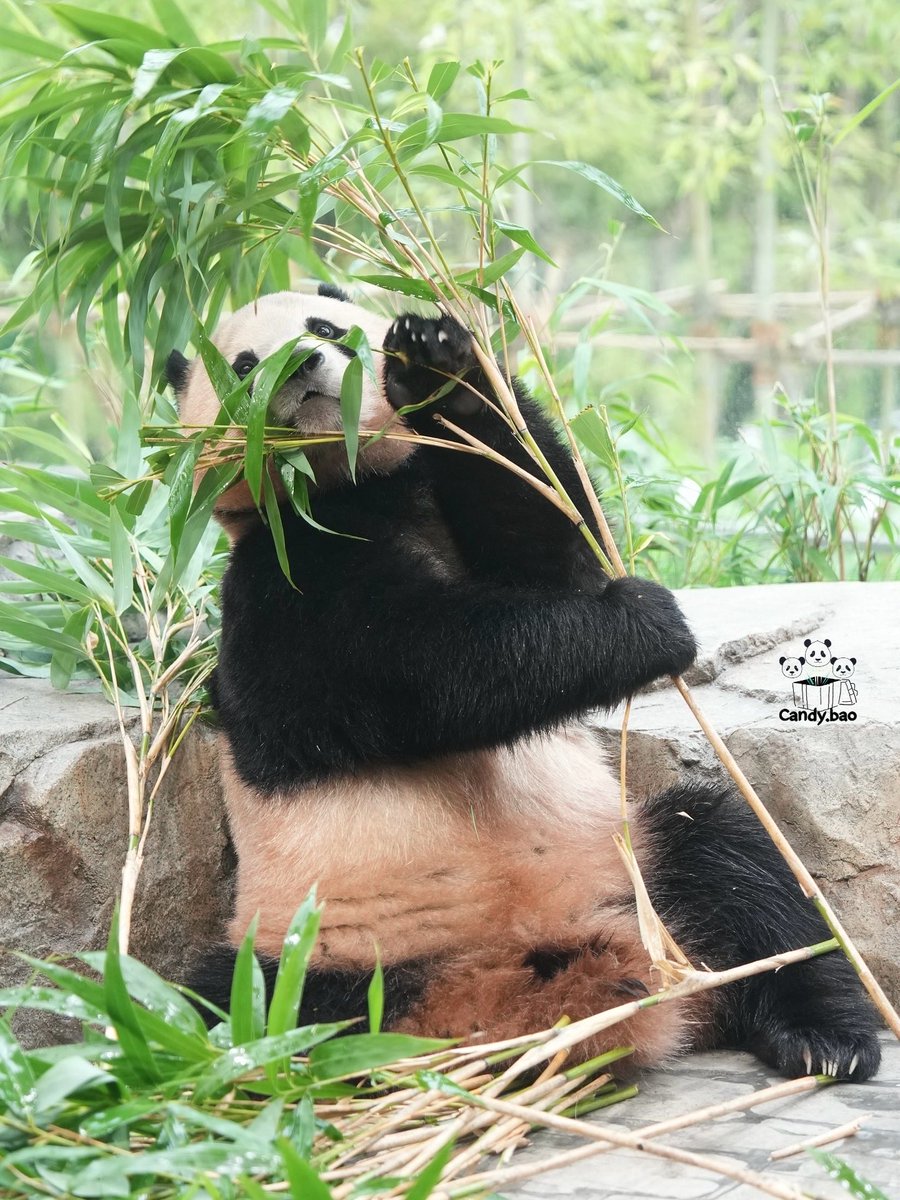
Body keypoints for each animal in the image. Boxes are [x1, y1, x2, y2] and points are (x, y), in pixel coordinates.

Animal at [167, 285, 880, 1080]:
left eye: (323, 327)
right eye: (243, 365)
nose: (301, 367)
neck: (353, 483)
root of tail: (511, 982)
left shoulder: (440, 494)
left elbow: (553, 538)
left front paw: (435, 363)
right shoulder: (282, 580)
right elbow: (425, 667)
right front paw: (648, 622)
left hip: (634, 868)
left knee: (741, 866)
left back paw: (825, 1039)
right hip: (312, 949)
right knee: (228, 1001)